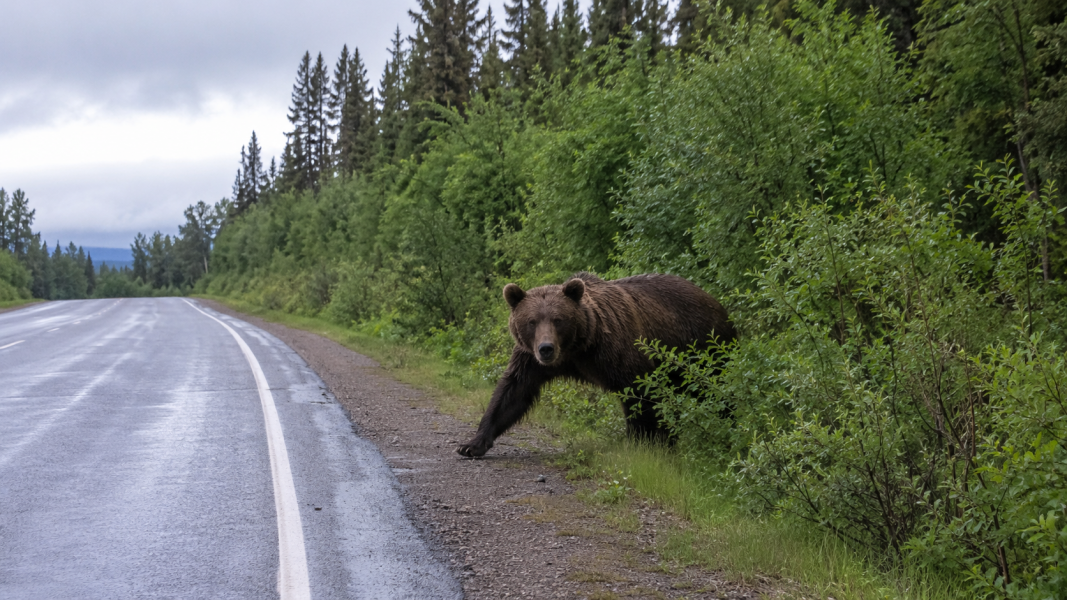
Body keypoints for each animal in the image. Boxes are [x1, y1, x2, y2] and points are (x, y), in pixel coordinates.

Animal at [457, 272, 736, 458]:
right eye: (531, 321)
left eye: (558, 319)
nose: (546, 348)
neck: (577, 349)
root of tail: (716, 302)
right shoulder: (531, 359)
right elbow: (513, 391)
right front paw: (471, 444)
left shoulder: (619, 352)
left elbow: (640, 395)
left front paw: (644, 443)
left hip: (703, 349)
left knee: (717, 390)